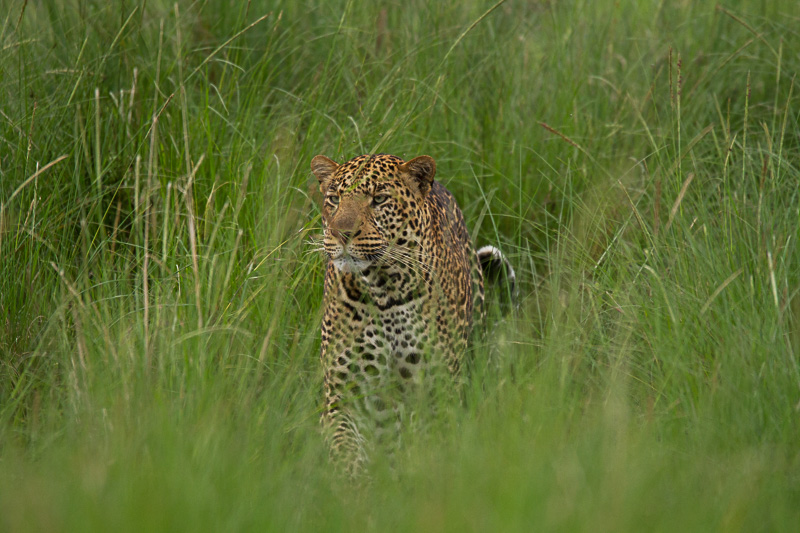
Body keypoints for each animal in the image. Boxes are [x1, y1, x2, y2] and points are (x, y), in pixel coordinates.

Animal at [310, 152, 516, 476]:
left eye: (379, 199)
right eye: (334, 199)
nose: (341, 233)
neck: (384, 288)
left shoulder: (434, 392)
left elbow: (426, 448)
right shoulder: (342, 393)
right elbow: (346, 449)